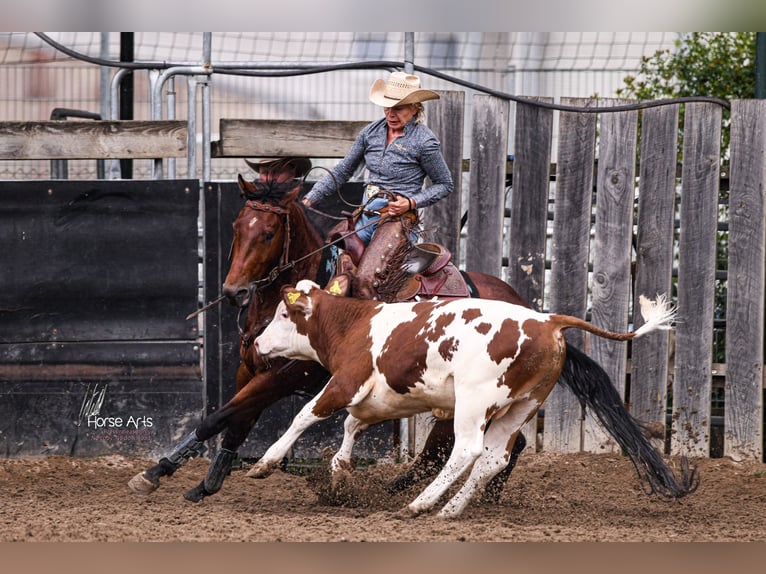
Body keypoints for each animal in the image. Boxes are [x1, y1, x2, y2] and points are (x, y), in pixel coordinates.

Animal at [129, 174, 698, 503]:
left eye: (268, 233)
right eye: (235, 228)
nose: (234, 292)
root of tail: (543, 317)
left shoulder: (296, 377)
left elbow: (223, 416)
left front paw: (167, 474)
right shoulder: (254, 368)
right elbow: (230, 420)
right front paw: (194, 476)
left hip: (468, 400)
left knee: (478, 448)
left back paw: (441, 494)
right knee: (478, 447)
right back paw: (430, 490)